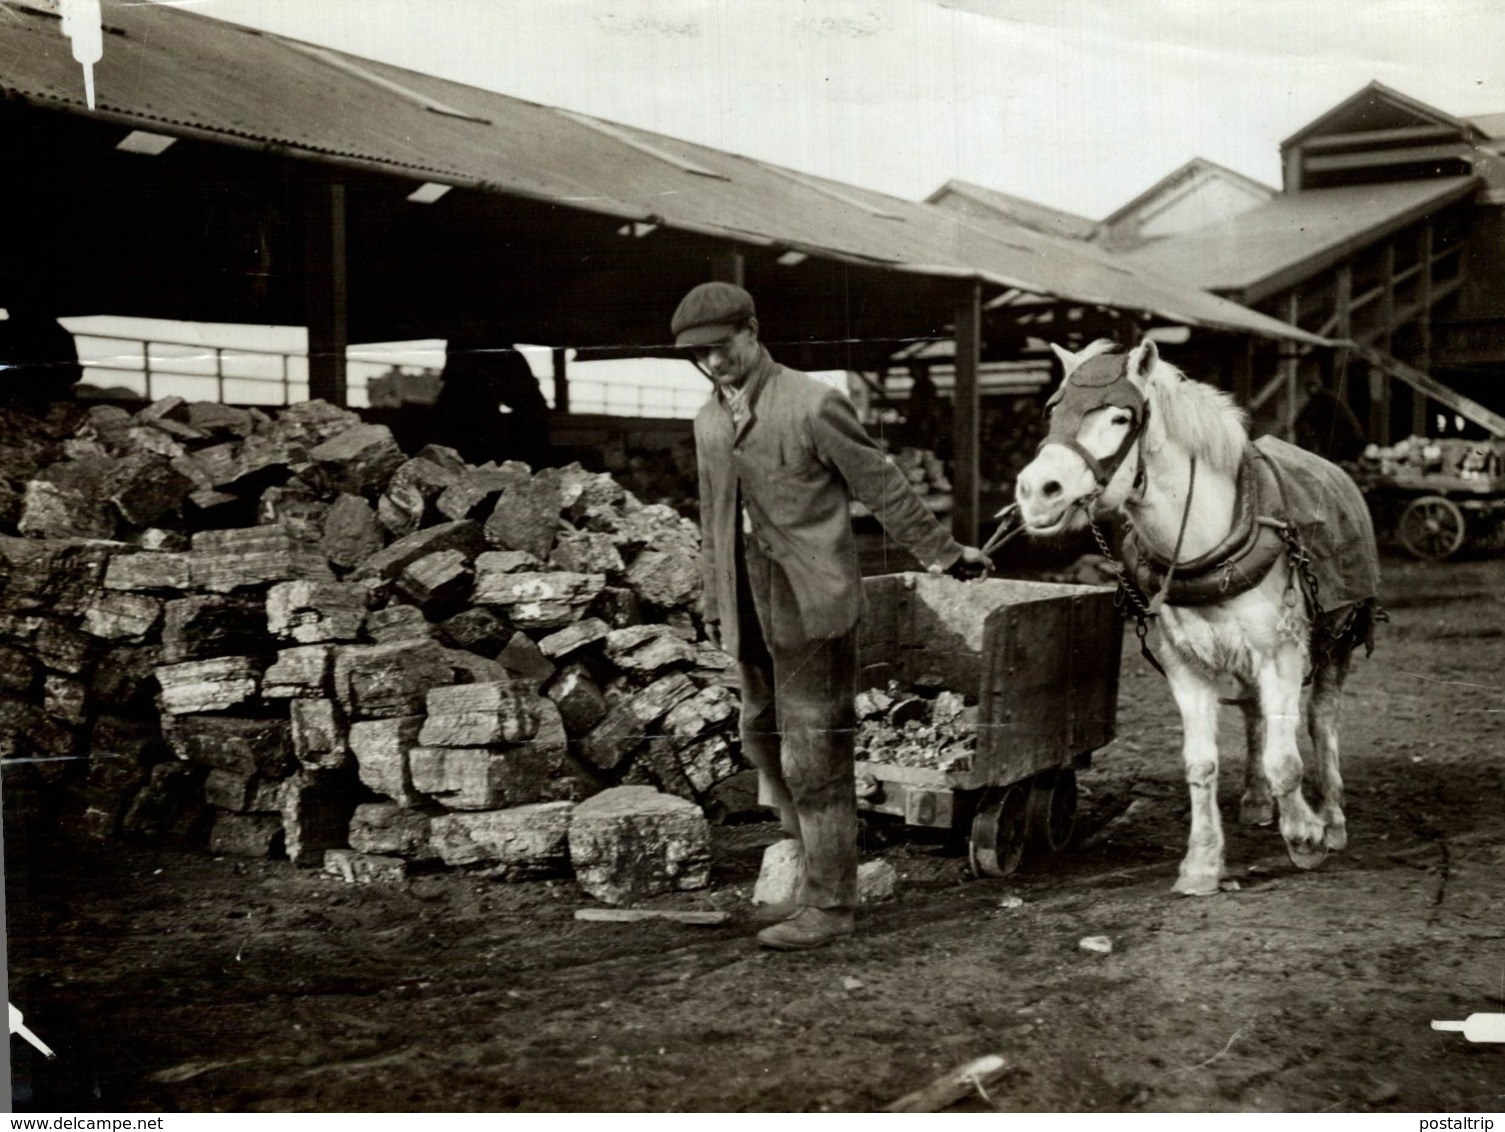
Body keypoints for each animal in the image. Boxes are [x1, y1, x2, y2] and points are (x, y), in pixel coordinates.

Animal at [1017, 335, 1378, 891]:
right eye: (1054, 410)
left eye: (1120, 417)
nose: (1037, 490)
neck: (1206, 542)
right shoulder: (1186, 666)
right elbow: (1201, 764)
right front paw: (1203, 863)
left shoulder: (1280, 654)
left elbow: (1285, 760)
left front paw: (1305, 837)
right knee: (1254, 713)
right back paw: (1257, 801)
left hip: (1338, 640)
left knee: (1321, 720)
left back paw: (1333, 818)